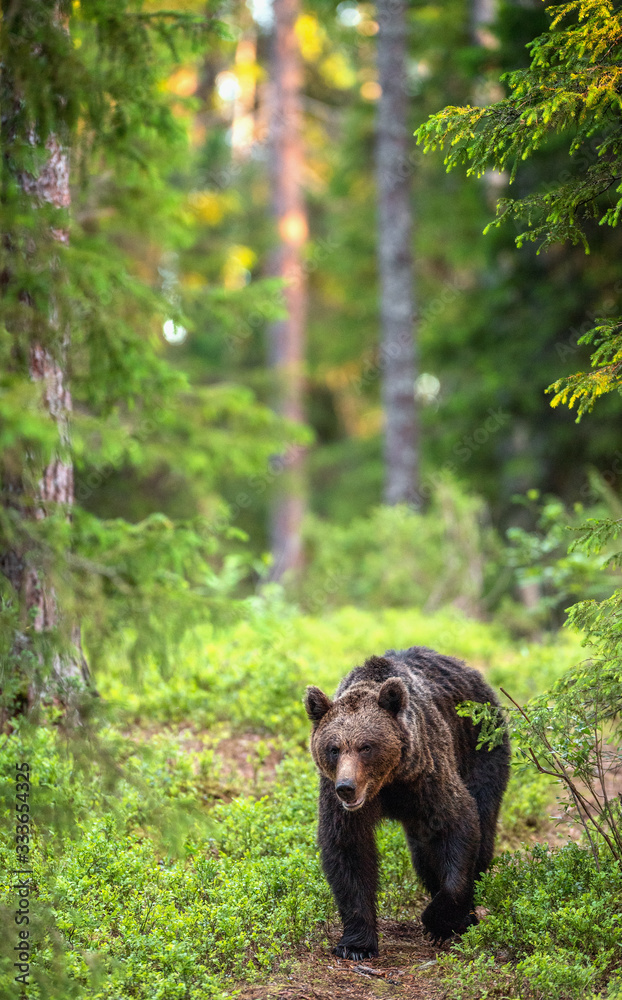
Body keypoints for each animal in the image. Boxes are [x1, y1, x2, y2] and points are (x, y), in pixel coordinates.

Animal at [304, 645, 510, 959]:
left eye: (366, 746)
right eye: (334, 748)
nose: (347, 788)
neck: (387, 783)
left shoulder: (426, 775)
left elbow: (457, 823)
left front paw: (439, 921)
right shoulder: (338, 800)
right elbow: (348, 849)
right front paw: (356, 944)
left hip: (481, 746)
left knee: (482, 826)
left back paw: (467, 916)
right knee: (422, 853)